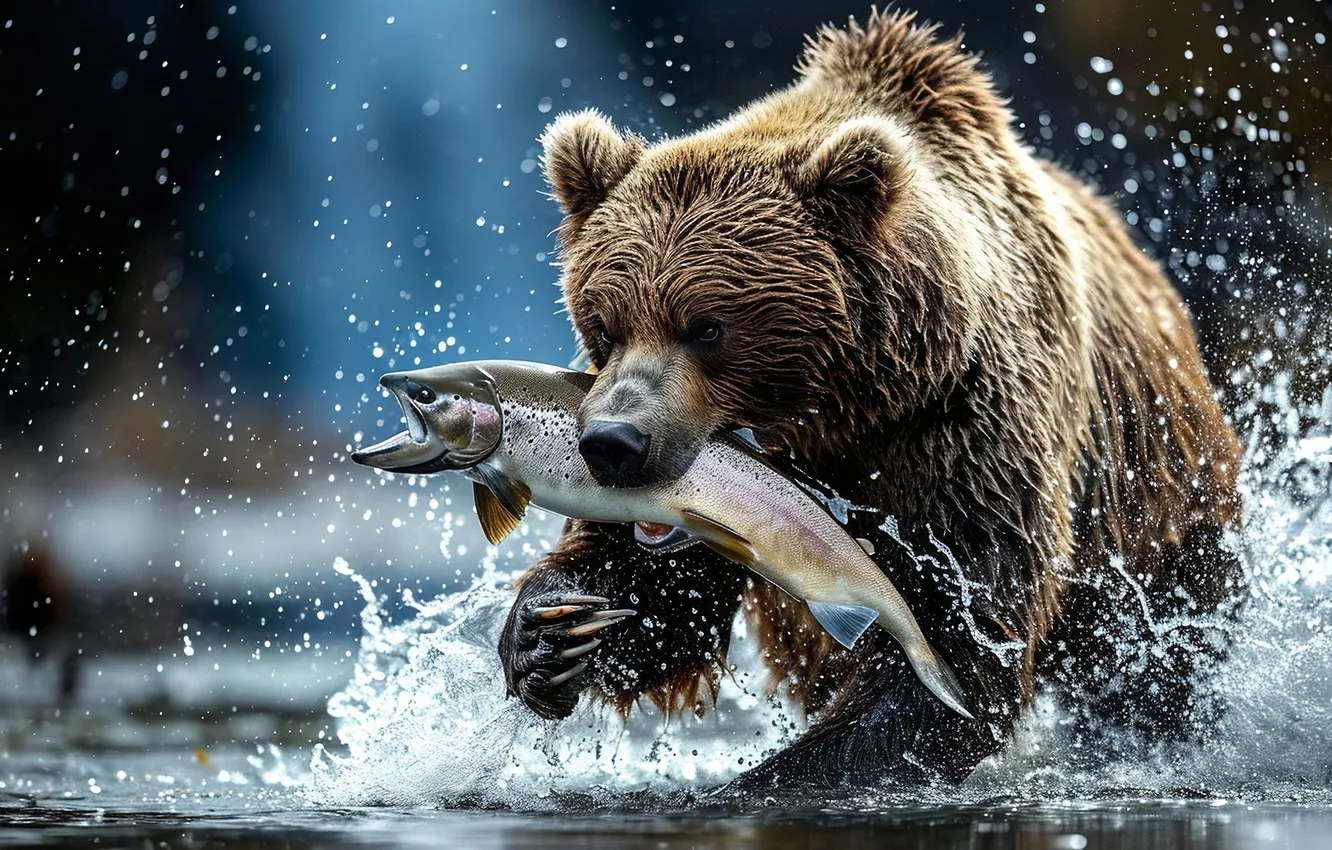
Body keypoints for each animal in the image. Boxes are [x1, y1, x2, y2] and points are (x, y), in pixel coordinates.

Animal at [498, 9, 1244, 788]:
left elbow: (958, 640)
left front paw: (772, 776)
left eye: (707, 327)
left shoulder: (964, 429)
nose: (614, 443)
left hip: (1156, 500)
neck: (843, 411)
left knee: (1161, 648)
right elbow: (660, 597)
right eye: (604, 325)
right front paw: (549, 630)